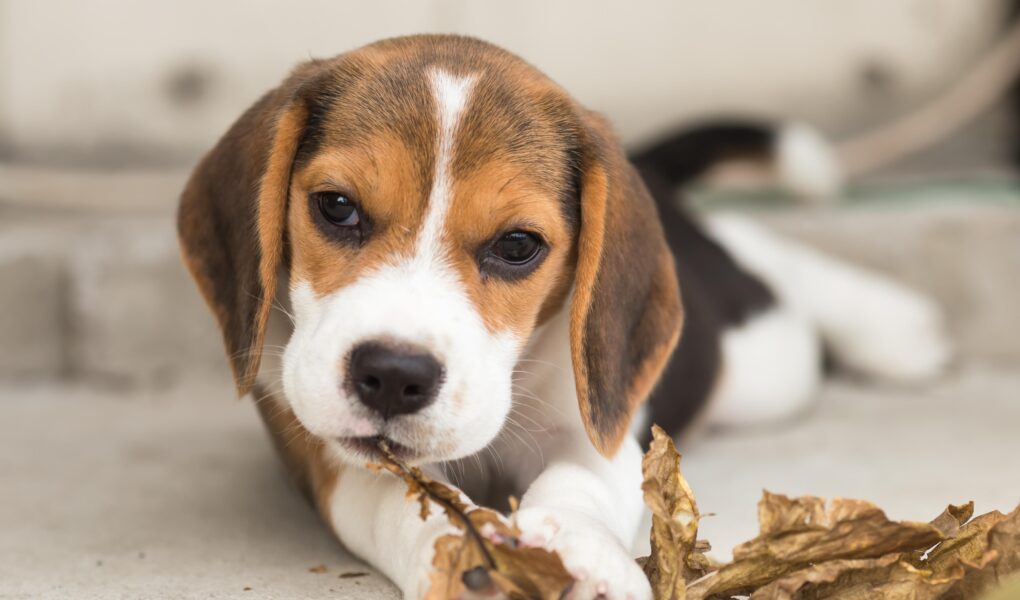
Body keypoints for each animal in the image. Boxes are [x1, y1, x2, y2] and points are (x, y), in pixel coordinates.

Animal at [175, 33, 946, 600]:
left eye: (518, 246)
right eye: (336, 207)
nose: (393, 375)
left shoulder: (599, 435)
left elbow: (577, 484)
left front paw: (580, 552)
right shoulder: (329, 453)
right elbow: (404, 501)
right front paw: (465, 556)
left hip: (766, 369)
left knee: (763, 261)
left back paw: (894, 326)